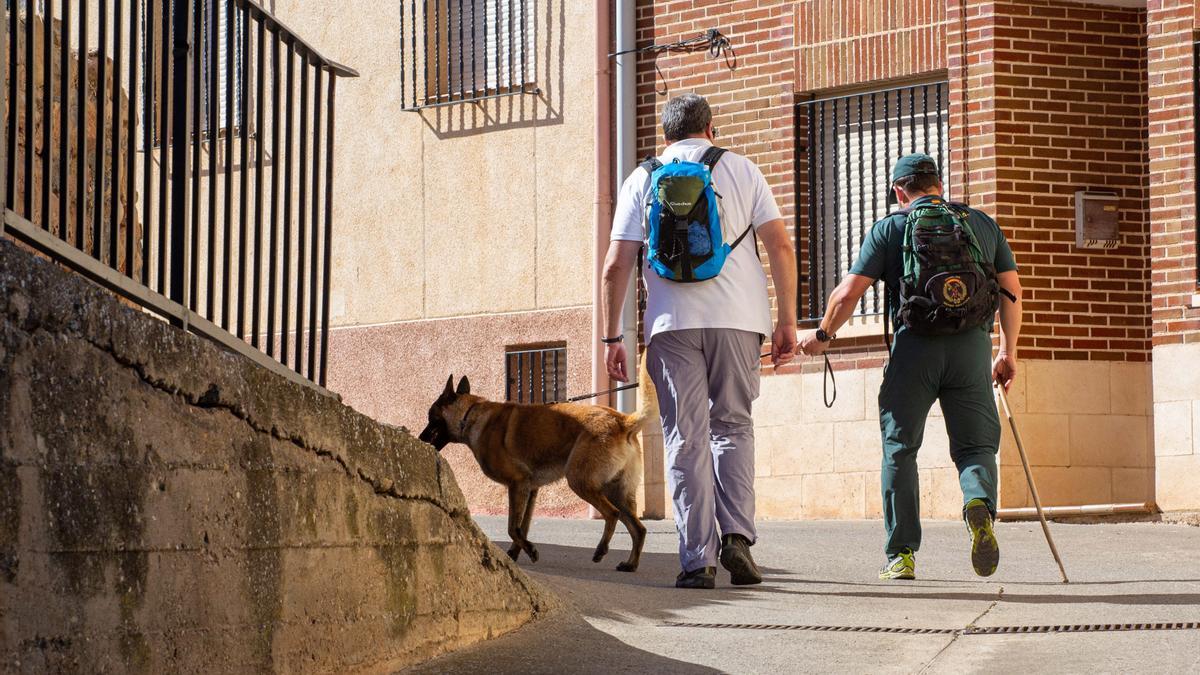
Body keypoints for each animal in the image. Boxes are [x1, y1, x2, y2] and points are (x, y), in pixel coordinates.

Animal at [415, 369, 657, 569]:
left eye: (430, 417)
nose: (420, 438)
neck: (470, 415)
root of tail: (622, 421)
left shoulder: (517, 484)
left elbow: (512, 527)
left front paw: (528, 551)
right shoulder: (530, 489)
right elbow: (522, 527)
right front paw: (515, 553)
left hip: (581, 482)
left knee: (612, 514)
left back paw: (601, 550)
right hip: (615, 492)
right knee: (639, 529)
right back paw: (630, 564)